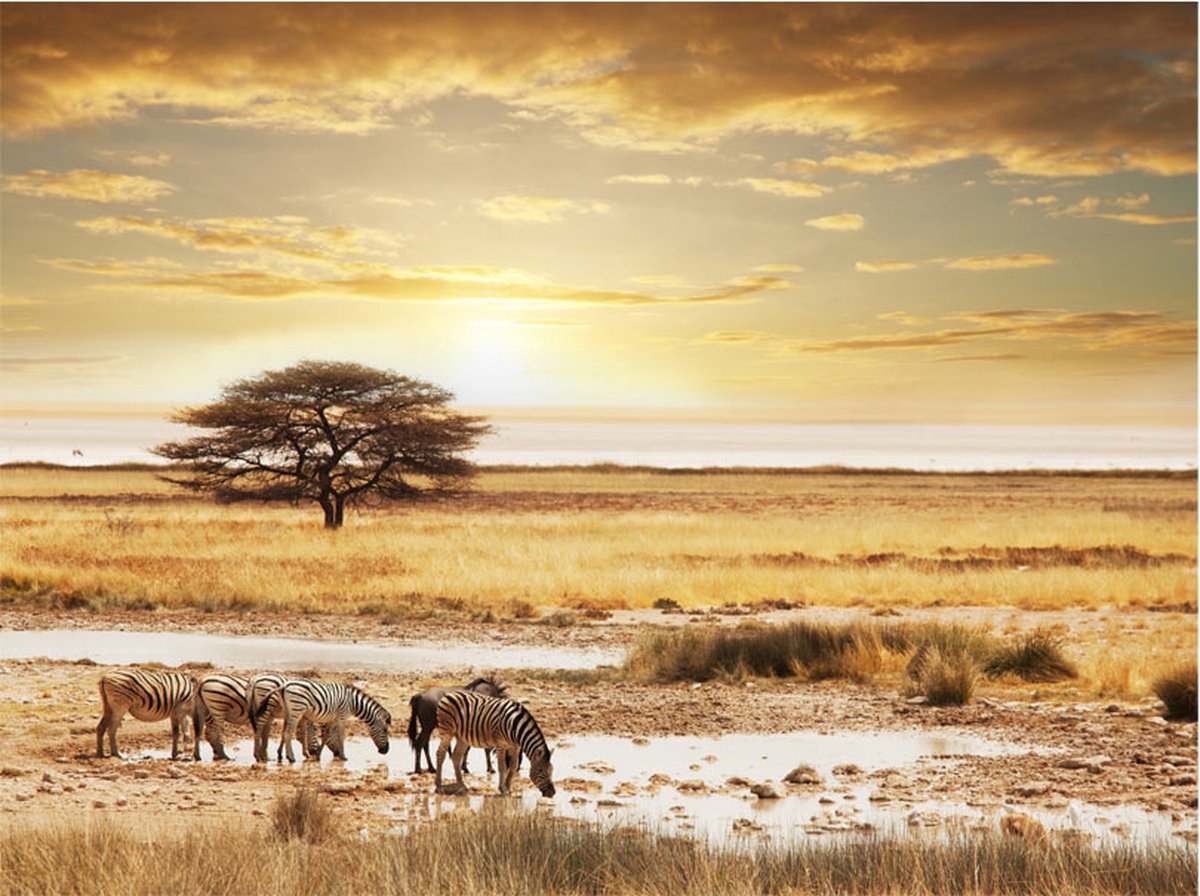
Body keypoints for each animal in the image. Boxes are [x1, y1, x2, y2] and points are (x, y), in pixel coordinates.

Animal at [192, 673, 322, 762]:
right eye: (316, 731)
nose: (315, 752)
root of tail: (202, 680)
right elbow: (289, 734)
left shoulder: (274, 715)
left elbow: (271, 735)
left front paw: (269, 754)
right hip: (218, 708)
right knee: (212, 733)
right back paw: (224, 756)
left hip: (204, 709)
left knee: (200, 732)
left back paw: (200, 755)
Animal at [258, 680, 391, 763]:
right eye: (385, 730)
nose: (386, 751)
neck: (353, 703)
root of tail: (285, 686)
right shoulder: (342, 716)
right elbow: (341, 735)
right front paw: (343, 756)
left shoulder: (332, 718)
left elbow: (326, 736)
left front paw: (318, 755)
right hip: (297, 710)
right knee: (287, 733)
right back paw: (291, 758)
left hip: (288, 711)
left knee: (284, 732)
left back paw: (284, 755)